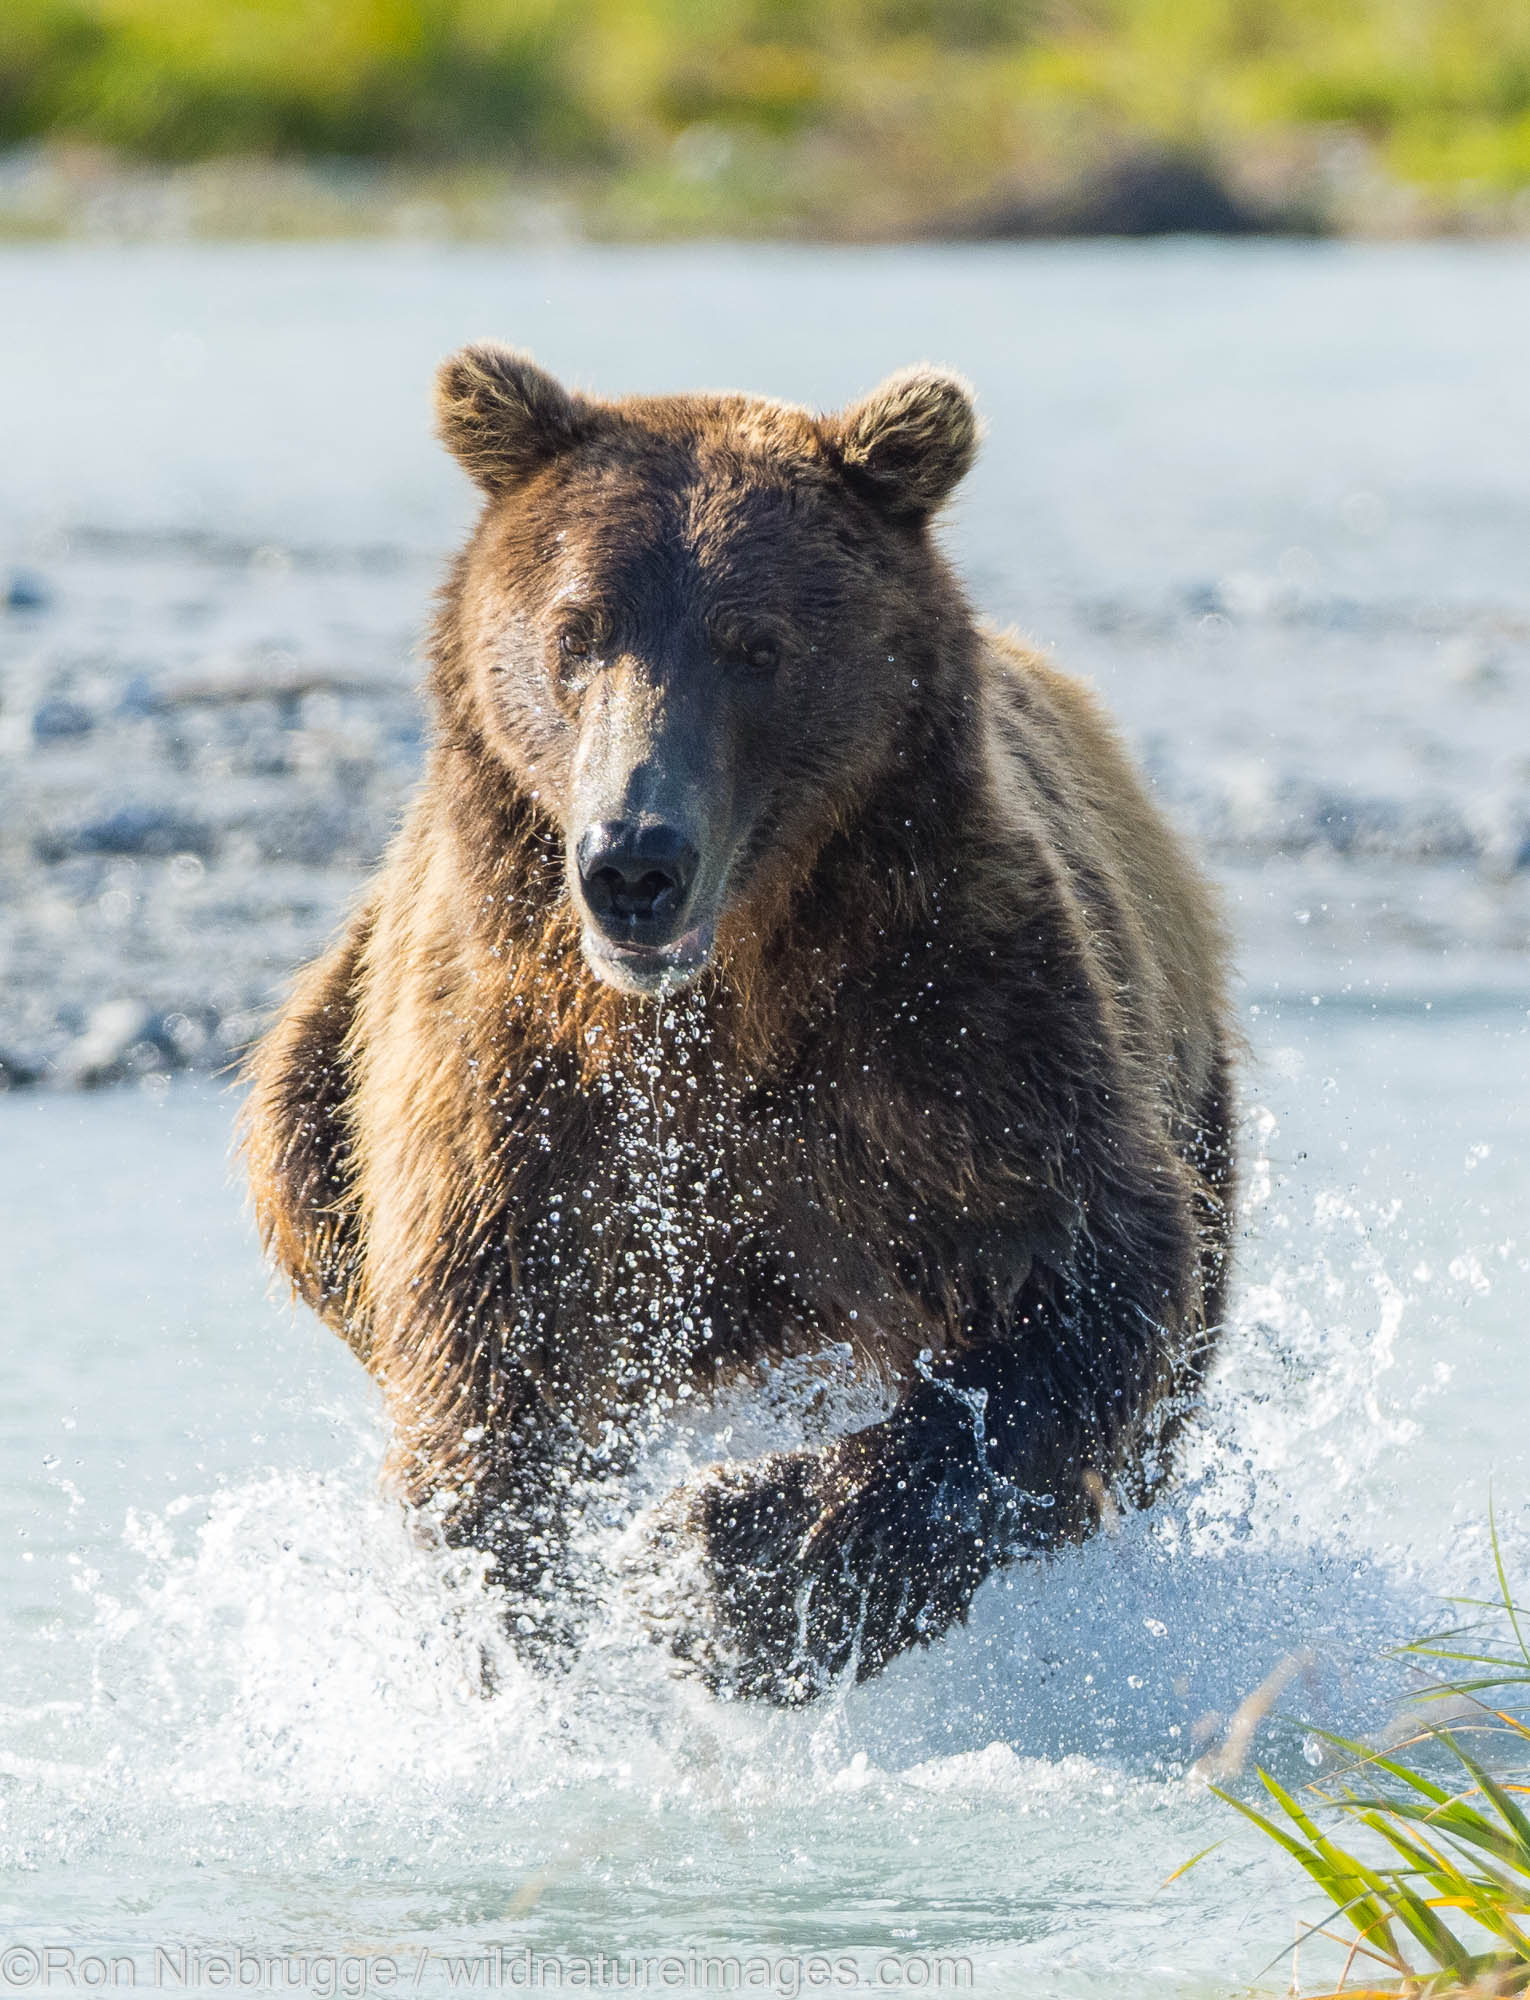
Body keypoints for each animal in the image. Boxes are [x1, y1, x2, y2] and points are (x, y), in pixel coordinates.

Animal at [245, 344, 1232, 1704]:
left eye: (754, 644)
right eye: (577, 632)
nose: (634, 858)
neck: (723, 1001)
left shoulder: (955, 1032)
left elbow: (1078, 1289)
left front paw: (724, 1570)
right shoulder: (512, 1088)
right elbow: (489, 1377)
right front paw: (558, 1627)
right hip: (317, 1097)